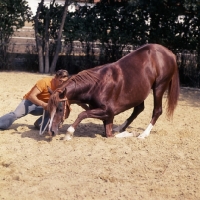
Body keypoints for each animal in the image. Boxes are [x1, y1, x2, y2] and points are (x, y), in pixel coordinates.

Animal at [47, 43, 180, 141]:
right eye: (49, 109)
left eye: (60, 109)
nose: (51, 131)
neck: (96, 85)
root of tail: (171, 54)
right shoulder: (107, 115)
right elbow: (108, 132)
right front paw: (125, 132)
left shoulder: (108, 111)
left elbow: (82, 115)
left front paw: (68, 134)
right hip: (139, 92)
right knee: (138, 109)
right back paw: (121, 127)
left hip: (159, 87)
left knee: (157, 111)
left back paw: (144, 134)